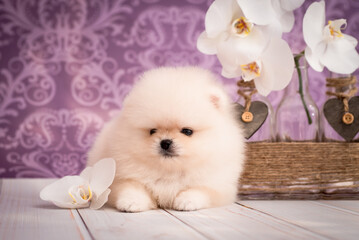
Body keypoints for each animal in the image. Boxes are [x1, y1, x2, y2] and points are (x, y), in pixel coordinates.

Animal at [88, 66, 246, 211]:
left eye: (187, 131)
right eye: (152, 131)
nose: (165, 142)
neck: (170, 171)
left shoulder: (217, 186)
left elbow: (199, 190)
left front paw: (187, 201)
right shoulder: (122, 178)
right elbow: (131, 187)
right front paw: (131, 202)